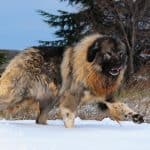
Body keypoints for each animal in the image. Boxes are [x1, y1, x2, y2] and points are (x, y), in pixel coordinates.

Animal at [0, 33, 144, 126]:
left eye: (121, 54)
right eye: (108, 54)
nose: (119, 66)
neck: (91, 68)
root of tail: (21, 55)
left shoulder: (104, 95)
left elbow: (122, 106)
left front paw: (136, 116)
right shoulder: (71, 98)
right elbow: (70, 118)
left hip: (49, 99)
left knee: (40, 119)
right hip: (17, 95)